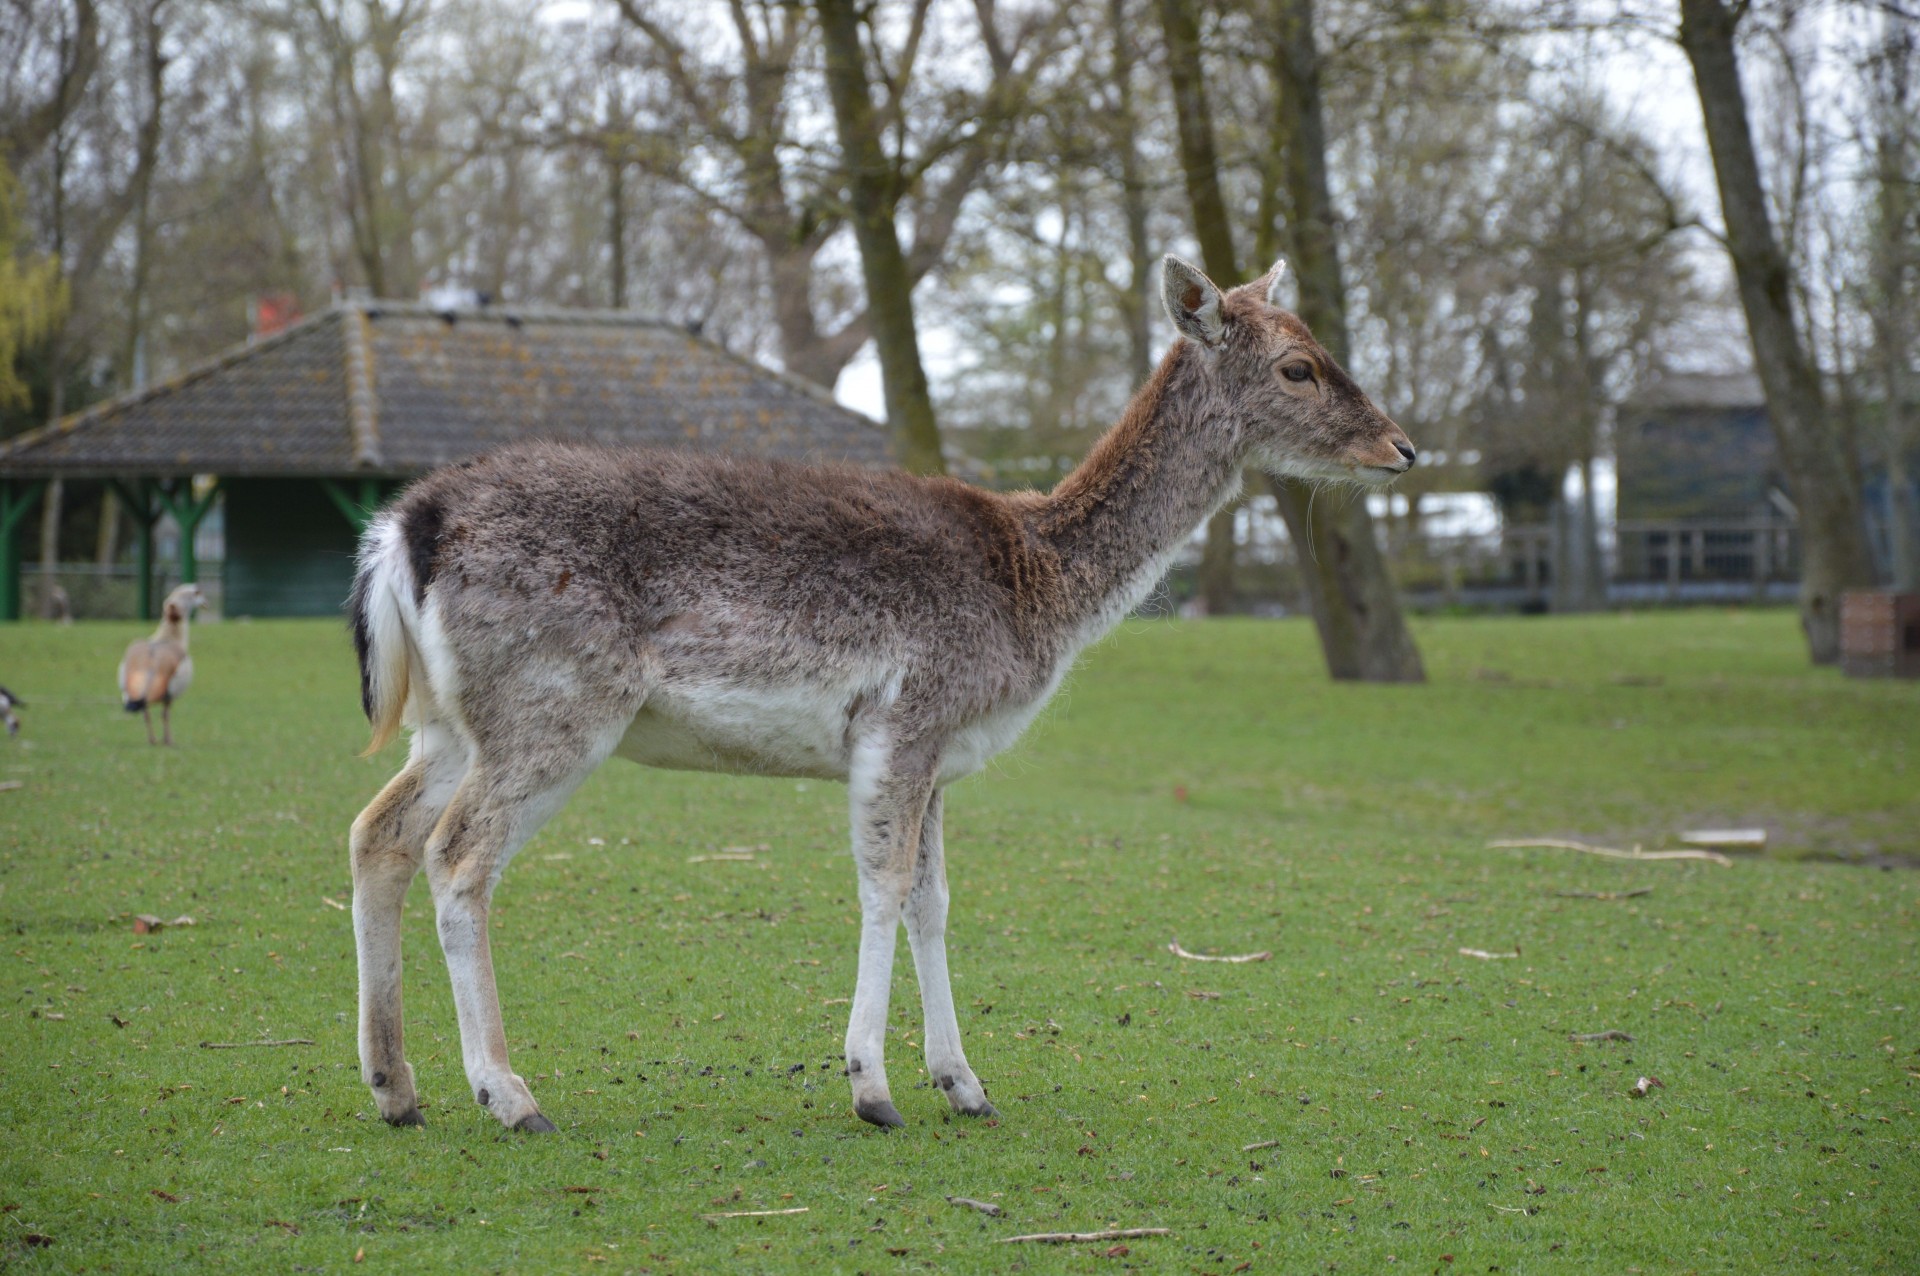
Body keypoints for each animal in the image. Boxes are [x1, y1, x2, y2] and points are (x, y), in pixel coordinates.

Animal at [345, 253, 1413, 1128]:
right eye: (1298, 366)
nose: (1403, 448)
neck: (1041, 588)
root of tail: (407, 525)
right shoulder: (906, 717)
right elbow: (884, 885)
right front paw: (872, 1086)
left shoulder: (944, 753)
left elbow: (934, 900)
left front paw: (966, 1085)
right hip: (553, 708)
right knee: (458, 855)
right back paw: (507, 1093)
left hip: (450, 722)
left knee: (377, 831)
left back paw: (397, 1087)